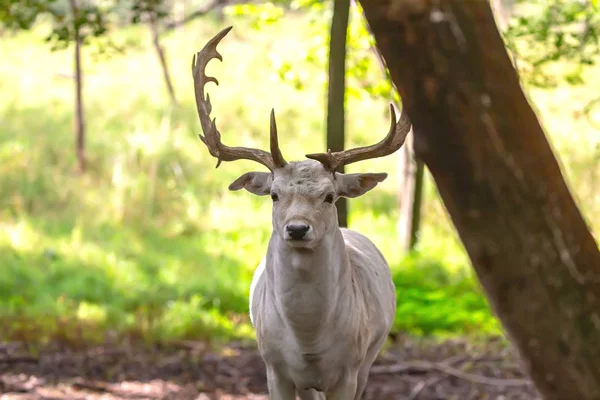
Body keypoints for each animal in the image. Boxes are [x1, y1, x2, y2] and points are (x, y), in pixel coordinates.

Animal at [192, 26, 412, 398]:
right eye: (274, 195)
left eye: (330, 196)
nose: (297, 229)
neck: (309, 341)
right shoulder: (274, 368)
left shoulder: (350, 369)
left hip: (370, 356)